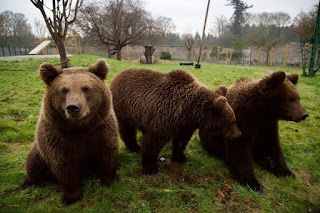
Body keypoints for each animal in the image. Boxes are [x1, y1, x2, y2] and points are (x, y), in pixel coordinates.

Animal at [21, 59, 119, 205]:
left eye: (86, 88)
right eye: (63, 90)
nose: (73, 107)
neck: (80, 127)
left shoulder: (101, 130)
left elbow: (107, 153)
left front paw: (108, 180)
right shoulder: (58, 136)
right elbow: (64, 165)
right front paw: (71, 196)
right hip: (39, 152)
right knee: (33, 165)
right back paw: (28, 181)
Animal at [109, 68, 241, 175]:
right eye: (232, 121)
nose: (238, 134)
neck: (190, 111)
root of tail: (116, 76)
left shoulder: (185, 125)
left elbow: (181, 141)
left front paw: (180, 157)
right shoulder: (164, 117)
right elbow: (153, 142)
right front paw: (150, 168)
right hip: (124, 108)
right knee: (127, 130)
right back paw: (135, 146)